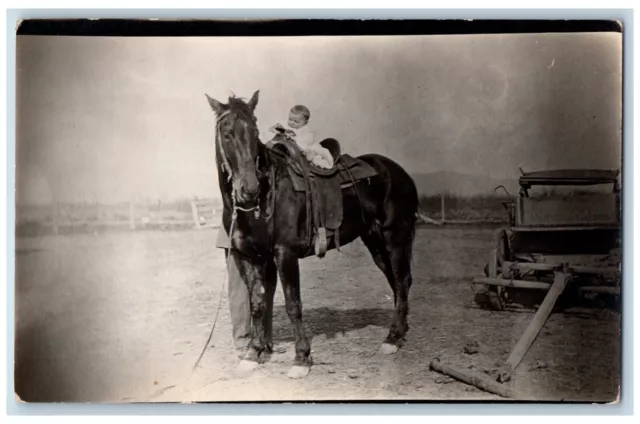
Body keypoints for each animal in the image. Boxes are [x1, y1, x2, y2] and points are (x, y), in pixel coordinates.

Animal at [205, 90, 420, 378]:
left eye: (254, 130)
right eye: (227, 133)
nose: (248, 188)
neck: (265, 196)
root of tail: (399, 172)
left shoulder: (285, 253)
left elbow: (293, 305)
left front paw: (301, 359)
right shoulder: (249, 257)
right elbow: (257, 303)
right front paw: (253, 353)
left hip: (395, 238)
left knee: (402, 281)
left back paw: (392, 338)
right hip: (375, 242)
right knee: (397, 284)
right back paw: (398, 333)